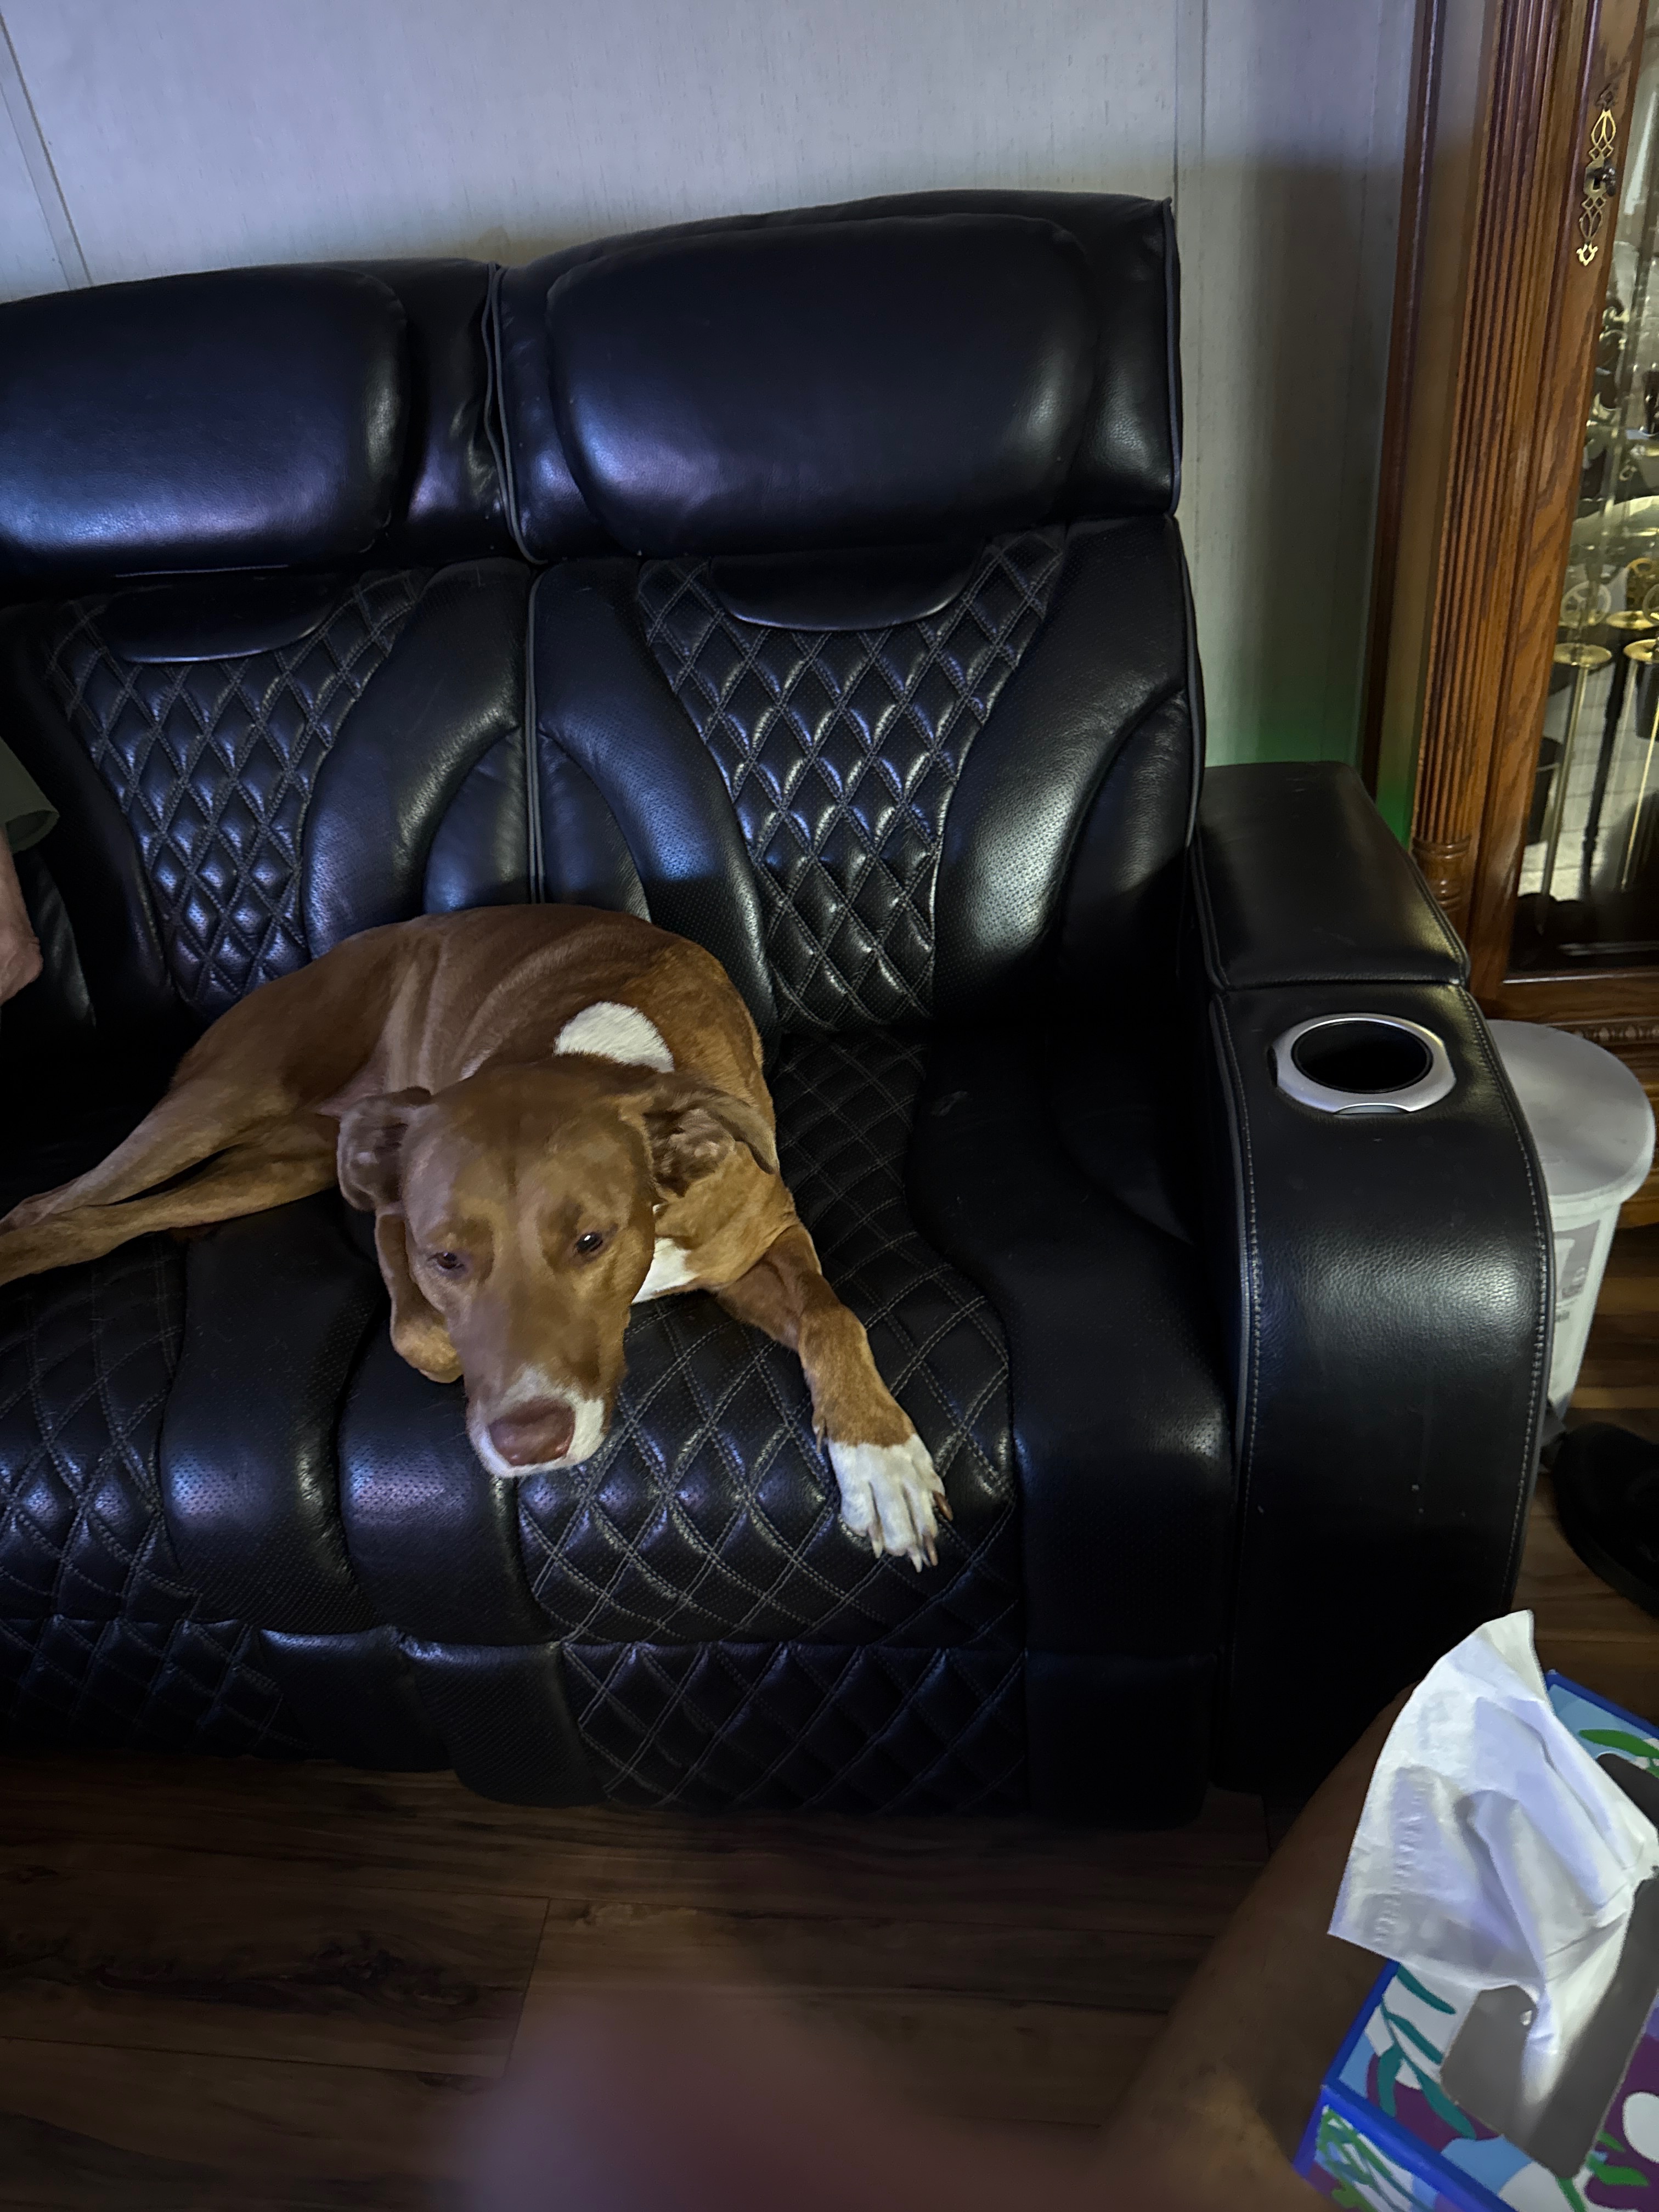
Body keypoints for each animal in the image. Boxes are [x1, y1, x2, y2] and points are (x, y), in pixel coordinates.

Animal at [0, 907, 949, 1566]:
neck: (595, 1053)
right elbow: (423, 1338)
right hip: (224, 1099)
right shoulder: (395, 1222)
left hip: (275, 1163)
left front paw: (881, 1458)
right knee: (51, 1208)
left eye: (592, 1242)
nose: (531, 1444)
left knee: (101, 1218)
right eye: (446, 1257)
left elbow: (832, 1316)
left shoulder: (762, 1239)